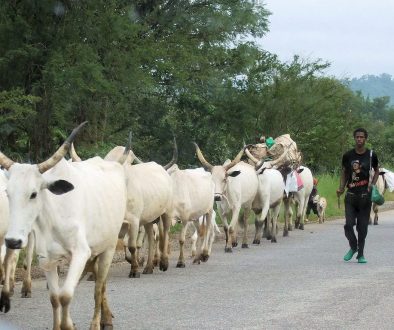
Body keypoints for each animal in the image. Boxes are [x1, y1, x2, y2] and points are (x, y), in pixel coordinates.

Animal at [0, 122, 127, 330]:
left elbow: (66, 296)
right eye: (7, 193)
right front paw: (59, 325)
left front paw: (68, 325)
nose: (12, 241)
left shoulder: (81, 252)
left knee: (99, 287)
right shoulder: (46, 259)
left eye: (33, 194)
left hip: (108, 248)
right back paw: (106, 317)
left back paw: (99, 322)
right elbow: (55, 298)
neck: (54, 217)